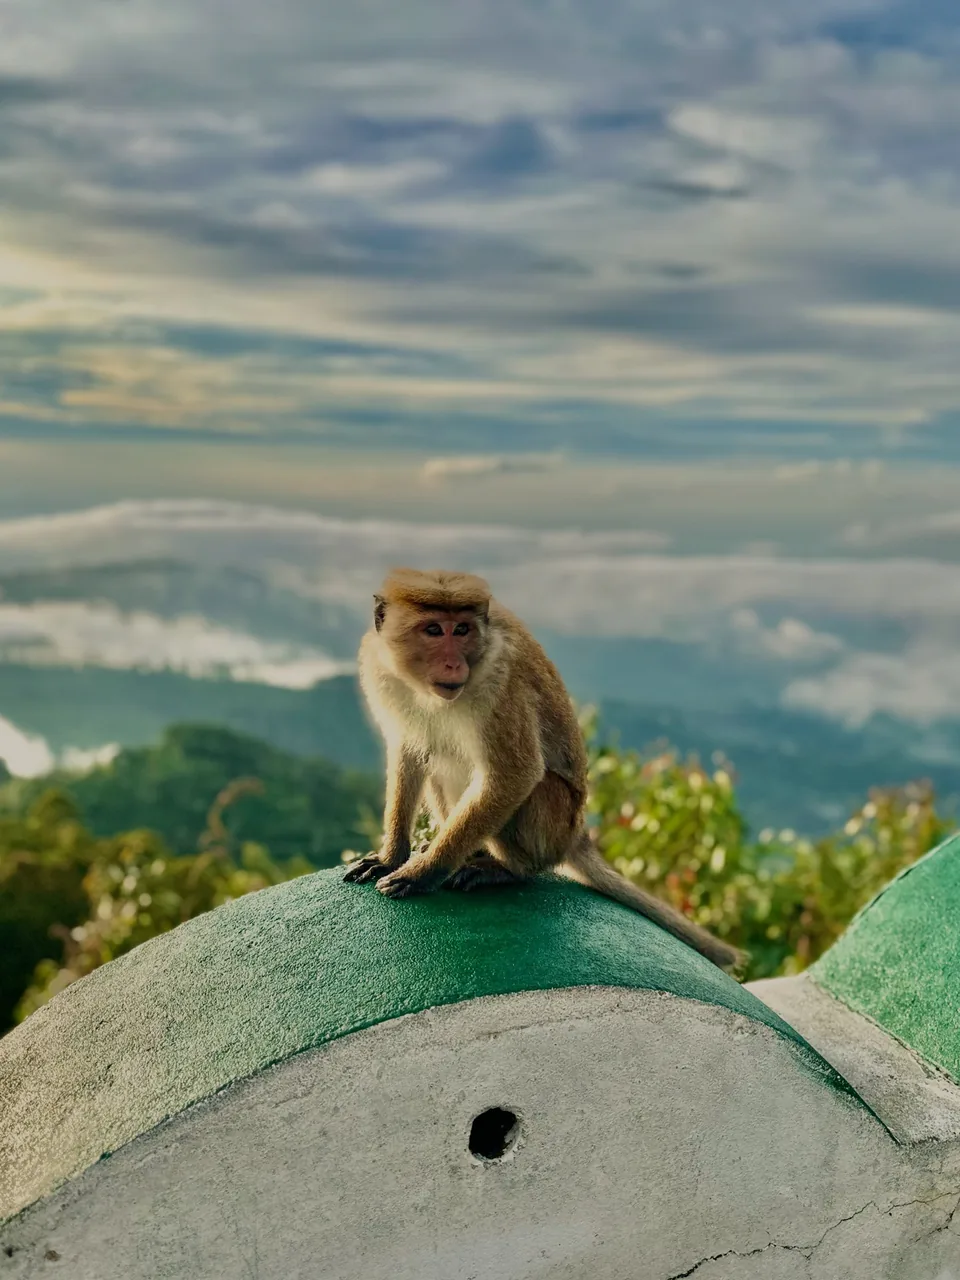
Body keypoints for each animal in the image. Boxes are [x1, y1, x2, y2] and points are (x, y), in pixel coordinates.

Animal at [344, 567, 743, 972]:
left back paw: (505, 868)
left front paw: (423, 873)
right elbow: (408, 752)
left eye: (462, 630)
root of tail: (577, 833)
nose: (455, 664)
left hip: (552, 824)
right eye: (434, 630)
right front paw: (391, 856)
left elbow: (515, 774)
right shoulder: (379, 669)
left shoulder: (498, 681)